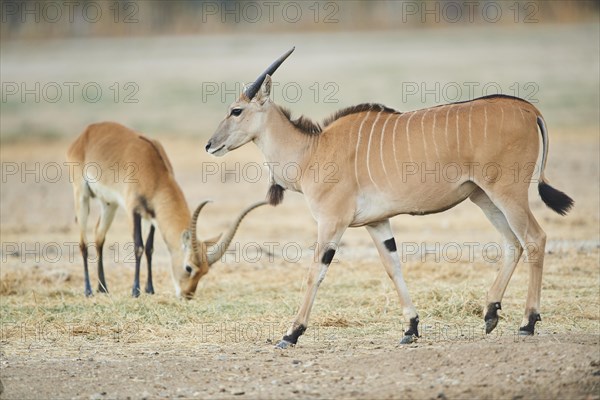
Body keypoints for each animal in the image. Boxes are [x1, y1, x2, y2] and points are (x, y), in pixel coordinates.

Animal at [65, 123, 264, 298]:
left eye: (205, 272)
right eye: (189, 267)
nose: (187, 295)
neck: (151, 168)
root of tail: (86, 133)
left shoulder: (152, 215)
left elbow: (150, 248)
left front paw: (150, 289)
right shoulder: (133, 210)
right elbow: (138, 246)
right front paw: (135, 291)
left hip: (109, 204)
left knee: (99, 236)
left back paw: (103, 288)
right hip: (81, 195)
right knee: (83, 243)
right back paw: (88, 291)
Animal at [205, 47, 572, 346]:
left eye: (236, 110)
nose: (210, 144)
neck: (312, 150)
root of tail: (528, 109)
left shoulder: (332, 222)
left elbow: (315, 272)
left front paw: (291, 333)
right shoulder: (378, 223)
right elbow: (393, 266)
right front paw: (410, 328)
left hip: (507, 193)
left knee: (534, 238)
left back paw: (527, 322)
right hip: (483, 197)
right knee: (513, 243)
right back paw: (491, 312)